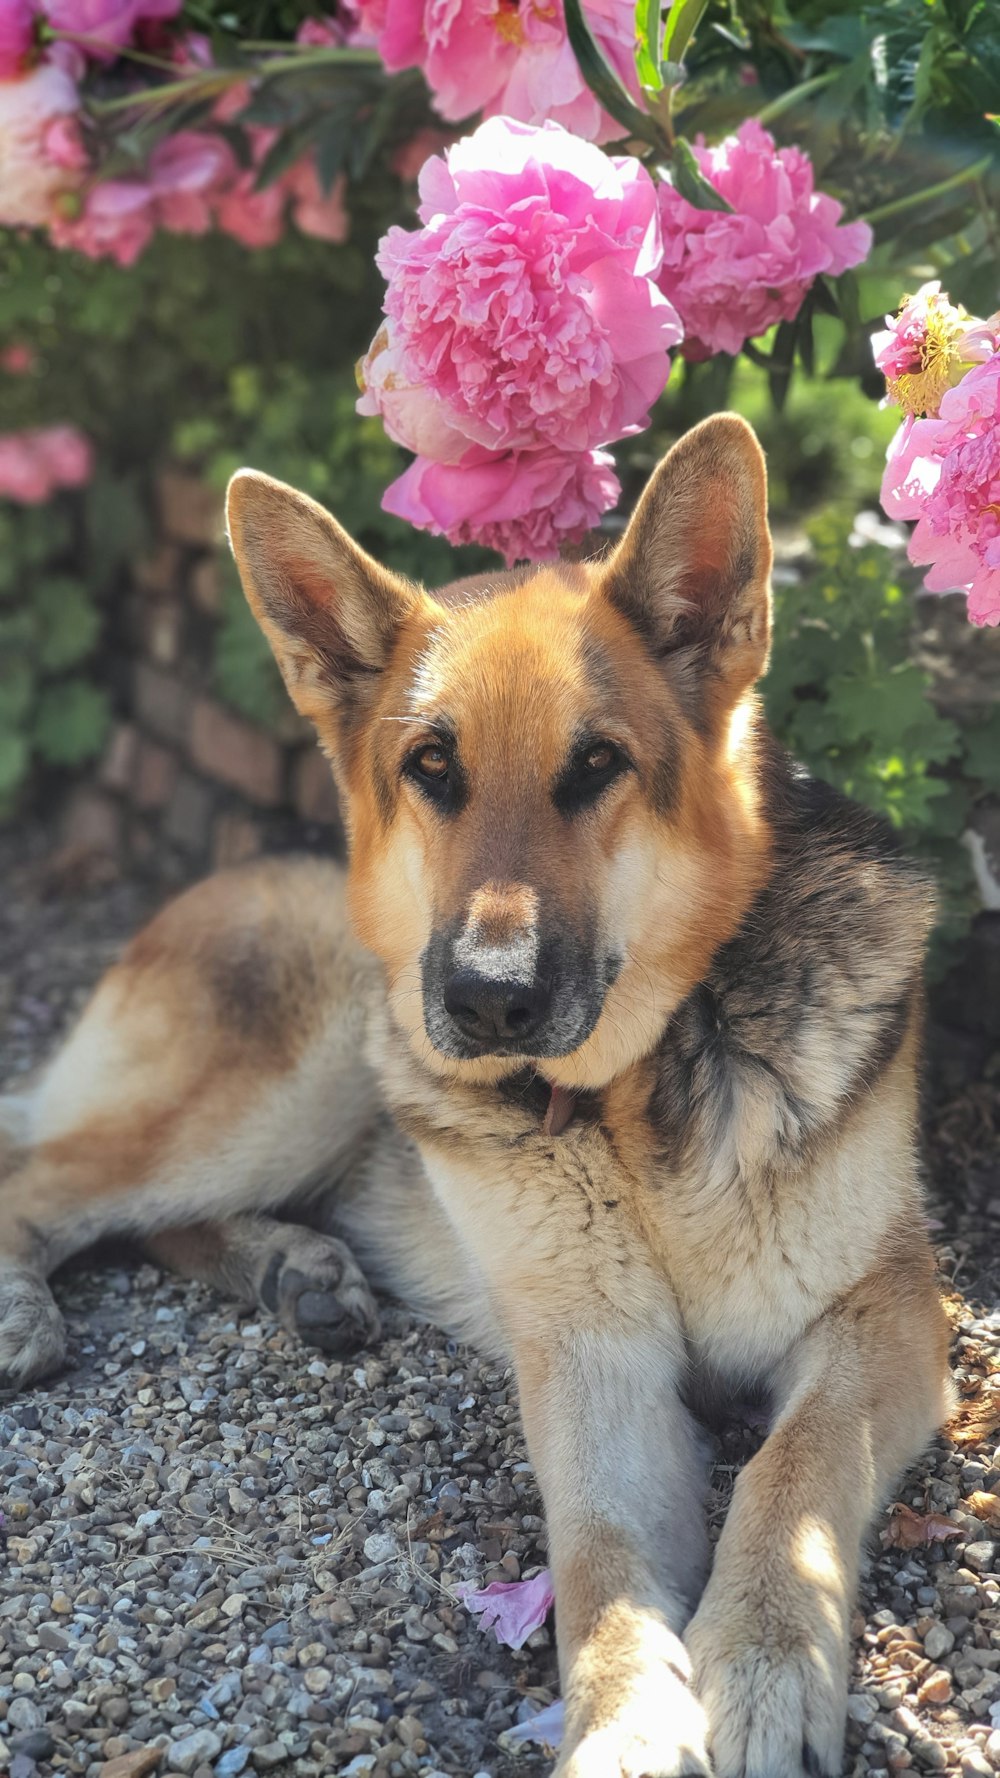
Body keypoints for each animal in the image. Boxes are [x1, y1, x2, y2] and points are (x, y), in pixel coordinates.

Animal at [0, 416, 946, 1778]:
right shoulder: (593, 1364)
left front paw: (767, 1652)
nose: (487, 999)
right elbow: (597, 1561)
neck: (633, 1099)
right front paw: (622, 1720)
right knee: (46, 1182)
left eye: (596, 765)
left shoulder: (885, 1317)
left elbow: (793, 1468)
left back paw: (295, 1268)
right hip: (298, 1075)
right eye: (430, 767)